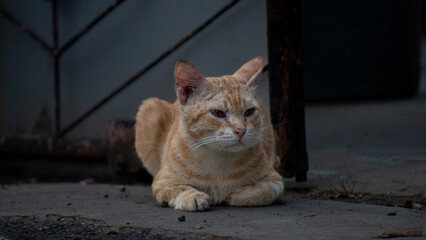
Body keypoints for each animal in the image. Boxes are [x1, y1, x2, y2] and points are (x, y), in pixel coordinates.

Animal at [136, 55, 282, 211]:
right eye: (218, 113)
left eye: (249, 112)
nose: (241, 130)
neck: (219, 161)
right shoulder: (162, 183)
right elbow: (179, 188)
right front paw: (193, 196)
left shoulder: (275, 180)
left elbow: (264, 192)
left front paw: (236, 194)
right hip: (149, 108)